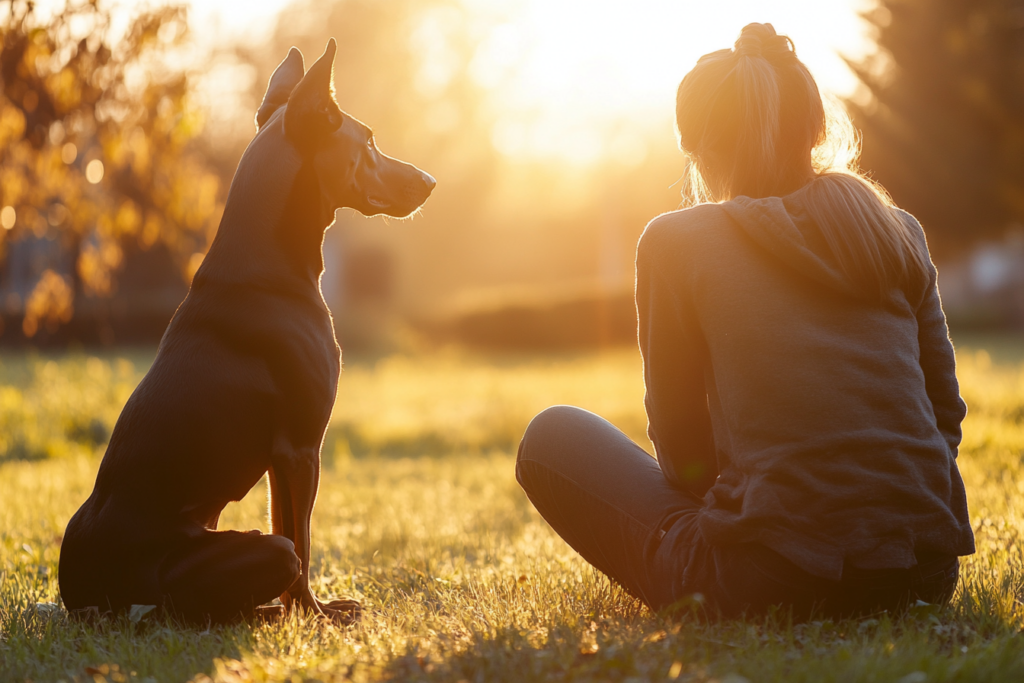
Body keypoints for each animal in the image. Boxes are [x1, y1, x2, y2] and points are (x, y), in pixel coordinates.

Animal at [58, 37, 436, 626]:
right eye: (369, 140)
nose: (429, 182)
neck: (268, 264)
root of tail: (83, 598)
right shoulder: (300, 449)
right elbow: (302, 542)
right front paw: (315, 616)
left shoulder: (287, 459)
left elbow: (293, 528)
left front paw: (308, 612)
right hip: (226, 558)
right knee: (198, 600)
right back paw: (264, 613)